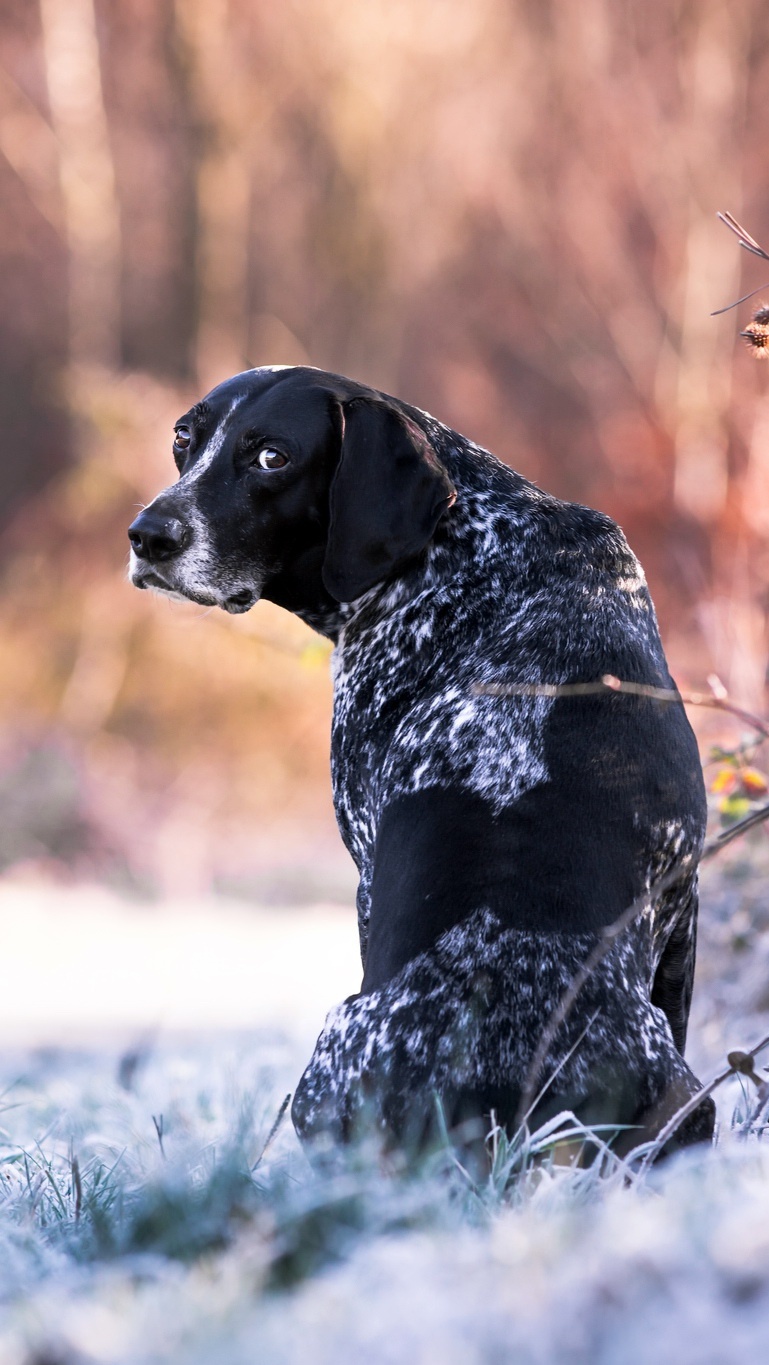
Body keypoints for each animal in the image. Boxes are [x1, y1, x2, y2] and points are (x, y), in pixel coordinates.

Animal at [127, 360, 715, 1152]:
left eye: (272, 456)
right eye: (183, 439)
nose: (146, 535)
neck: (461, 550)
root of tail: (495, 1113)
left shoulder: (366, 871)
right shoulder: (683, 899)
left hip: (334, 1039)